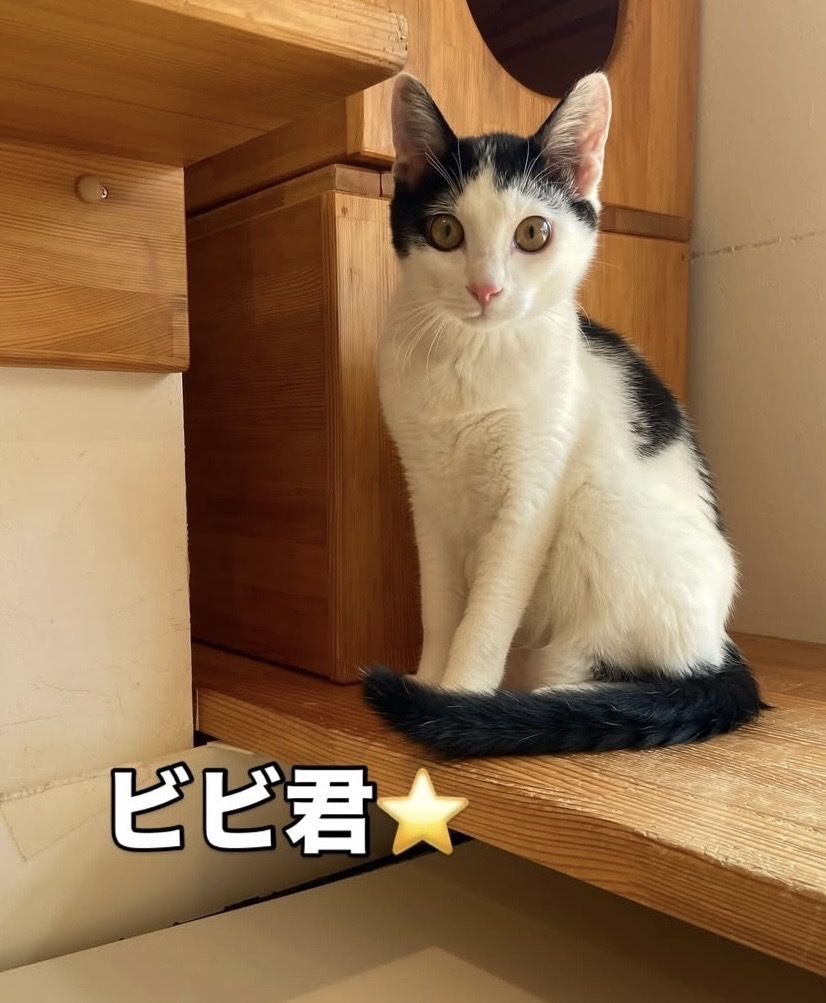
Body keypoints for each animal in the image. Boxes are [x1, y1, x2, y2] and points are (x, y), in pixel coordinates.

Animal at [362, 71, 765, 758]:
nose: (485, 288)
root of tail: (720, 644)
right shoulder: (427, 493)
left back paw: (545, 698)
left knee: (614, 659)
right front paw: (430, 677)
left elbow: (489, 607)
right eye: (446, 233)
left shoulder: (533, 493)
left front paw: (457, 698)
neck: (474, 359)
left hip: (602, 506)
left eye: (533, 234)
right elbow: (440, 604)